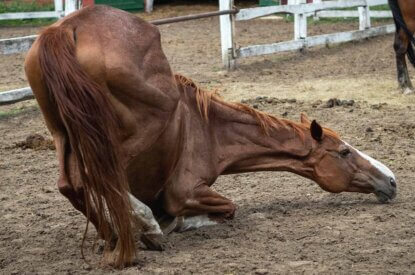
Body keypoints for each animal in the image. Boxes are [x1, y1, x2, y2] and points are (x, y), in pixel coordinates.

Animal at [24, 5, 398, 270]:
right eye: (345, 151)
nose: (391, 181)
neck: (208, 127)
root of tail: (67, 28)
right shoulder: (186, 190)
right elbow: (227, 208)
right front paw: (169, 223)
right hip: (133, 129)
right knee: (98, 177)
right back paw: (143, 232)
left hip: (64, 134)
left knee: (72, 185)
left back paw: (118, 237)